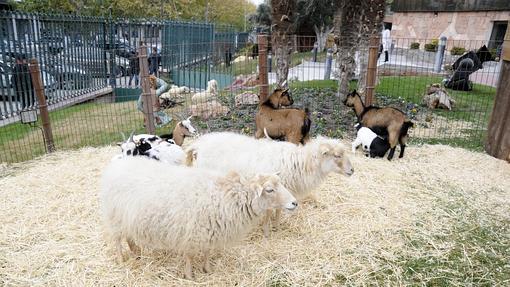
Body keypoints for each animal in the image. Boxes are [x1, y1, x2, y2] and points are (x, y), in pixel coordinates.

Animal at [99, 156, 296, 280]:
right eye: (269, 189)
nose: (294, 203)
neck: (228, 196)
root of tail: (115, 167)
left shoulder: (210, 230)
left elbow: (207, 252)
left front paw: (207, 269)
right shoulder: (191, 232)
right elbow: (190, 256)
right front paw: (189, 276)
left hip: (127, 218)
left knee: (129, 237)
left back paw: (136, 252)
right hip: (114, 217)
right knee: (117, 240)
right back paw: (121, 259)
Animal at [184, 133, 354, 236]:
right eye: (337, 155)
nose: (352, 170)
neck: (300, 163)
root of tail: (198, 144)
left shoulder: (283, 192)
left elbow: (278, 211)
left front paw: (277, 226)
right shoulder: (267, 191)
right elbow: (267, 213)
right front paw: (266, 232)